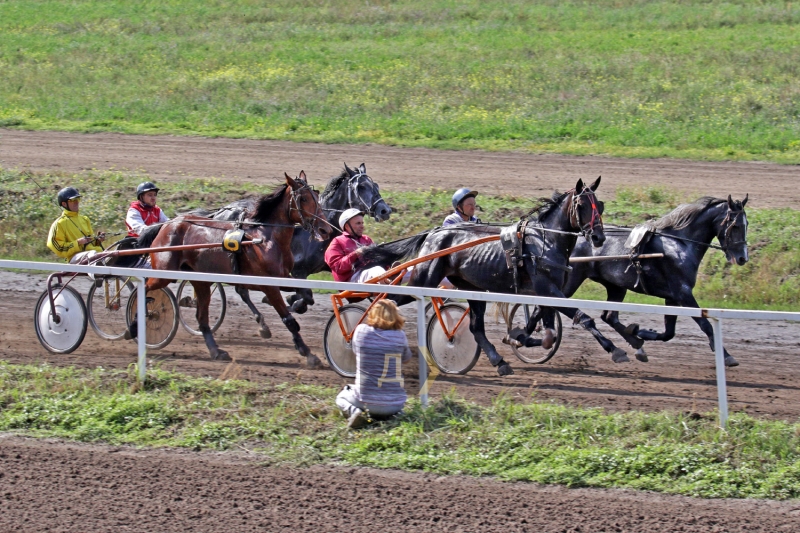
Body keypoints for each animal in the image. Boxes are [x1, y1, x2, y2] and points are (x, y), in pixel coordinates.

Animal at [136, 172, 332, 368]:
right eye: (304, 198)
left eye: (316, 196)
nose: (325, 229)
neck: (266, 238)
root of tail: (169, 224)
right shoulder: (268, 284)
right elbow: (289, 319)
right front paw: (308, 353)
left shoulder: (284, 277)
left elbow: (306, 295)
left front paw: (295, 304)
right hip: (163, 274)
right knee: (144, 288)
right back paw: (135, 323)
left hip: (200, 280)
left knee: (202, 317)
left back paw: (216, 351)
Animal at [360, 177, 632, 376]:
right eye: (581, 205)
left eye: (600, 205)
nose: (598, 237)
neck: (546, 241)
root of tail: (433, 233)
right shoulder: (547, 288)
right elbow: (583, 318)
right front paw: (615, 349)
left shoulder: (549, 290)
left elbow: (548, 333)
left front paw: (518, 337)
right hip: (424, 278)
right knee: (391, 300)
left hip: (471, 287)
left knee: (476, 328)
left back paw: (499, 361)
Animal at [556, 195, 752, 366]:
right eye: (735, 225)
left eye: (746, 224)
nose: (742, 258)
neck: (681, 244)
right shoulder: (683, 293)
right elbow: (706, 325)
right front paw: (726, 356)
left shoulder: (672, 298)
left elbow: (668, 333)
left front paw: (639, 332)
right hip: (572, 280)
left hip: (616, 285)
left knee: (609, 316)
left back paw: (633, 342)